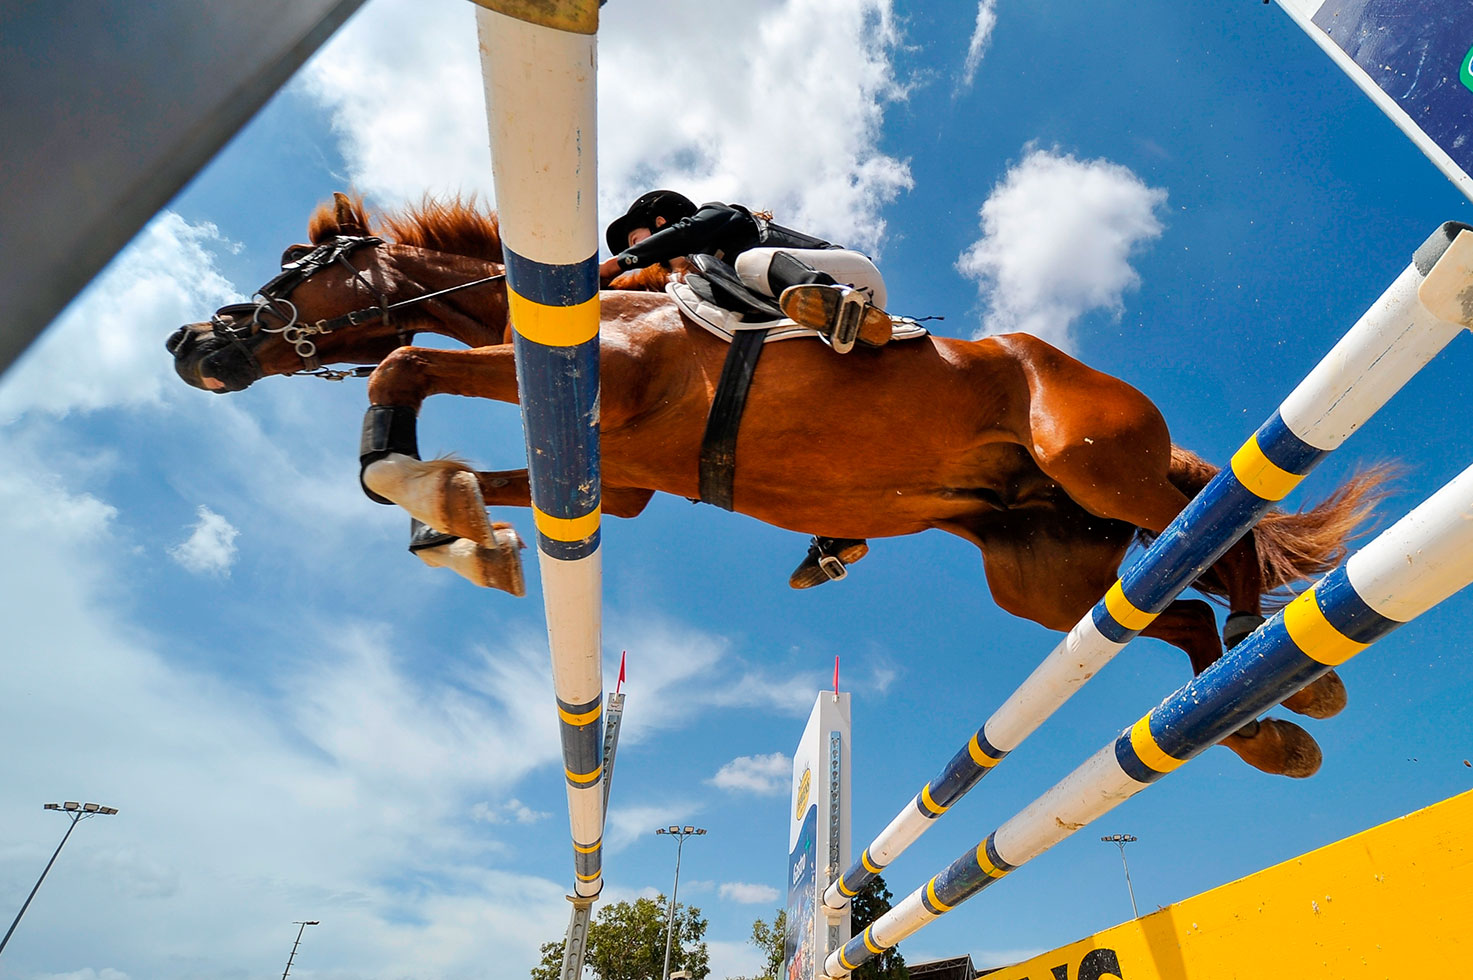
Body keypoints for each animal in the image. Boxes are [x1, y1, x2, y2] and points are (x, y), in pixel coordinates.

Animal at [167, 193, 1387, 779]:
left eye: (301, 268)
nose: (191, 341)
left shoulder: (614, 384)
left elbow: (400, 365)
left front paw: (431, 492)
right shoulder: (621, 479)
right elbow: (457, 473)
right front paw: (457, 521)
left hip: (1097, 459)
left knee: (1220, 532)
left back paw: (1284, 664)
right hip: (1042, 570)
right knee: (1168, 612)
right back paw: (1262, 721)